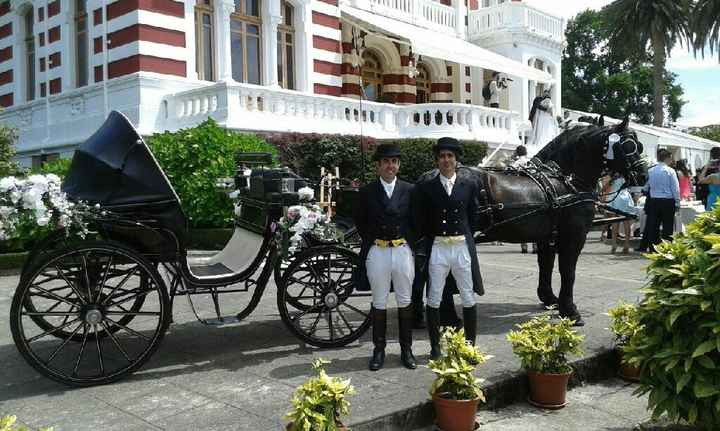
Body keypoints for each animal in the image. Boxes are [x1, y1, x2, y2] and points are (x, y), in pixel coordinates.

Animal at [416, 116, 648, 326]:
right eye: (627, 146)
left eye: (639, 145)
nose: (643, 176)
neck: (566, 181)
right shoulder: (574, 235)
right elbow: (568, 271)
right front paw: (570, 310)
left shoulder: (547, 236)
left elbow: (546, 265)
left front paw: (550, 299)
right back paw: (447, 316)